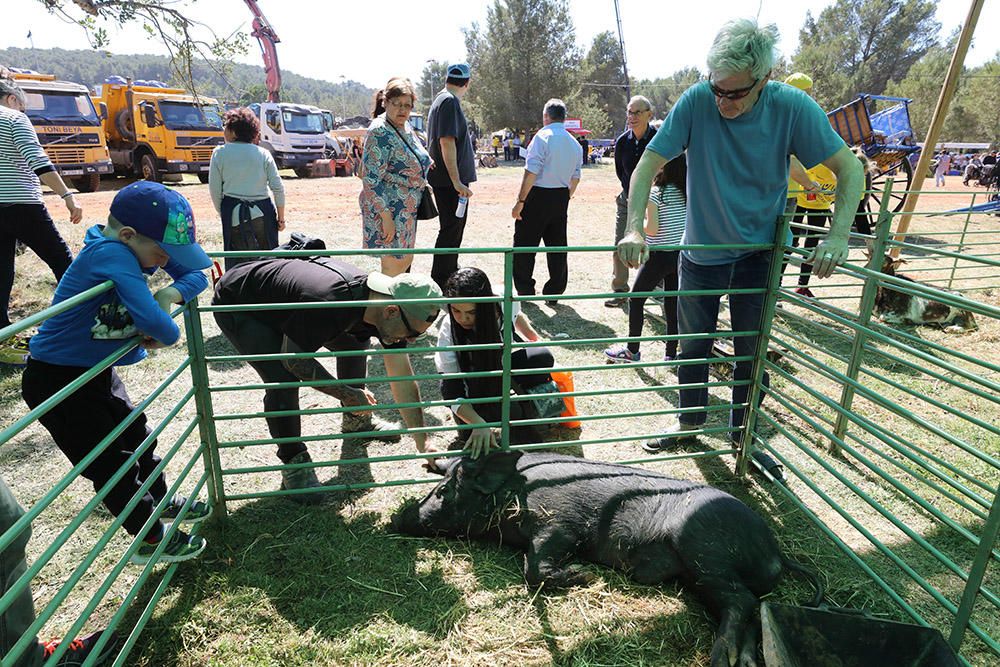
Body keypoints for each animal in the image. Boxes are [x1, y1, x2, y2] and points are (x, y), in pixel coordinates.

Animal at [390, 454, 820, 667]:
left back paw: (718, 659)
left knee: (742, 601)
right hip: (703, 576)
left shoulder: (561, 523)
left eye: (443, 492)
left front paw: (584, 576)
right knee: (751, 609)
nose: (399, 516)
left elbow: (535, 567)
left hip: (704, 551)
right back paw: (743, 661)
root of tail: (776, 552)